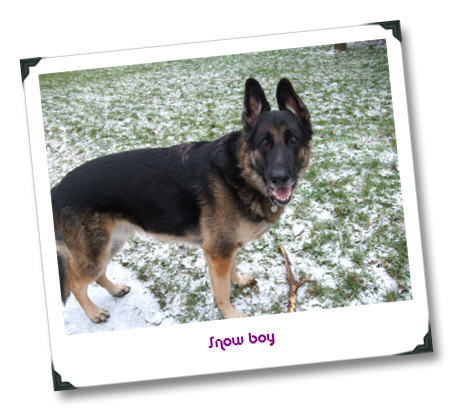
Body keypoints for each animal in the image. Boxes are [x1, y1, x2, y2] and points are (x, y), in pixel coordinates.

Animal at [52, 78, 312, 323]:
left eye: (294, 140)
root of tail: (56, 189)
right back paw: (94, 313)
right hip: (95, 252)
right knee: (76, 284)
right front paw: (230, 314)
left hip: (111, 243)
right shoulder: (217, 252)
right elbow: (221, 292)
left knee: (98, 274)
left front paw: (237, 280)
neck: (241, 171)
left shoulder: (228, 247)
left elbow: (232, 269)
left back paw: (115, 289)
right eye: (264, 143)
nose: (280, 178)